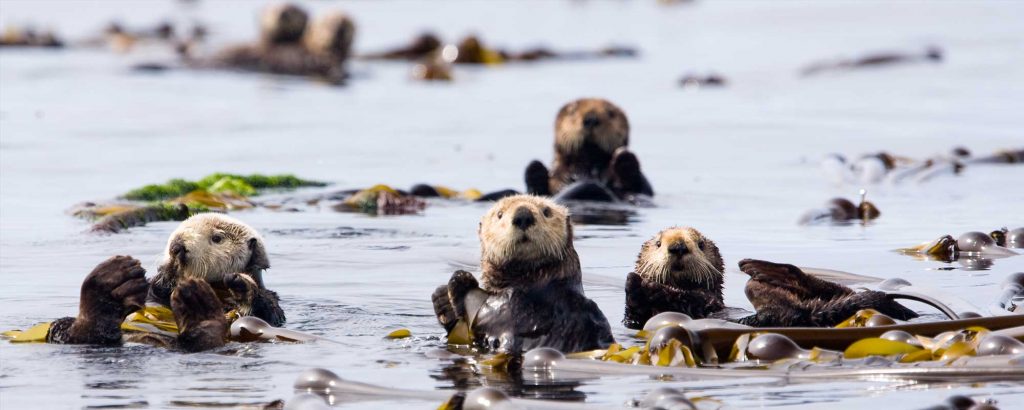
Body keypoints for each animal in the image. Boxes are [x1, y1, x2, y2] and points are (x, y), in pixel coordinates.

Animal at [430, 194, 610, 352]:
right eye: (499, 214)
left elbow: (489, 313)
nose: (523, 215)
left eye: (547, 211)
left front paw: (460, 280)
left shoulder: (514, 308)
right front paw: (441, 298)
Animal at [622, 227, 921, 330]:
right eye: (658, 244)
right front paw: (640, 282)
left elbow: (694, 298)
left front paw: (643, 284)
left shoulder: (706, 301)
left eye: (700, 244)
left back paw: (760, 269)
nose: (678, 247)